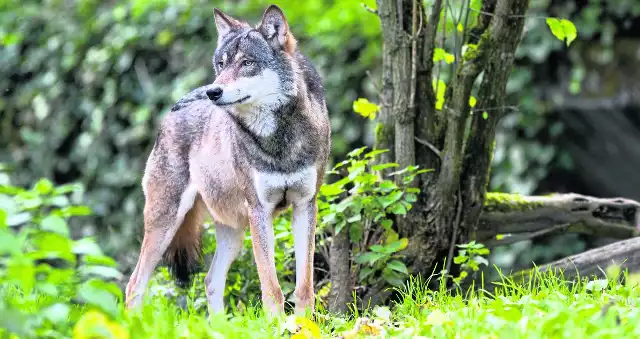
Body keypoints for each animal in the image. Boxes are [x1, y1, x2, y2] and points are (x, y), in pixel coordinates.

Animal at [126, 3, 336, 318]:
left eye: (247, 63)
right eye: (222, 64)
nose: (214, 91)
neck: (279, 139)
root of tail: (174, 109)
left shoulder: (305, 206)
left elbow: (304, 287)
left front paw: (304, 325)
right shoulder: (260, 211)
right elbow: (272, 289)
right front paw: (277, 325)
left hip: (233, 230)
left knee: (211, 281)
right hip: (166, 222)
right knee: (135, 283)